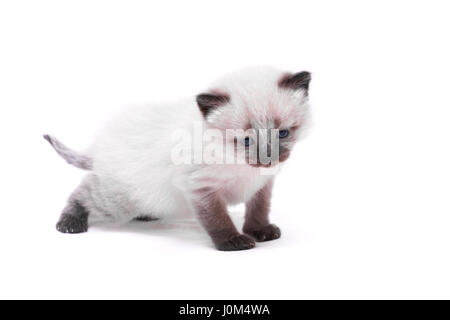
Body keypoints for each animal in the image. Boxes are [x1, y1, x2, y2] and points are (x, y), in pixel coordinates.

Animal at [46, 66, 312, 251]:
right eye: (246, 140)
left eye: (283, 133)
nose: (267, 159)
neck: (240, 163)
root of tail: (99, 148)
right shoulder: (201, 188)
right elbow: (217, 218)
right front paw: (233, 241)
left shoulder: (262, 185)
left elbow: (258, 210)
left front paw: (260, 231)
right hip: (116, 200)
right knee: (82, 193)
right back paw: (70, 224)